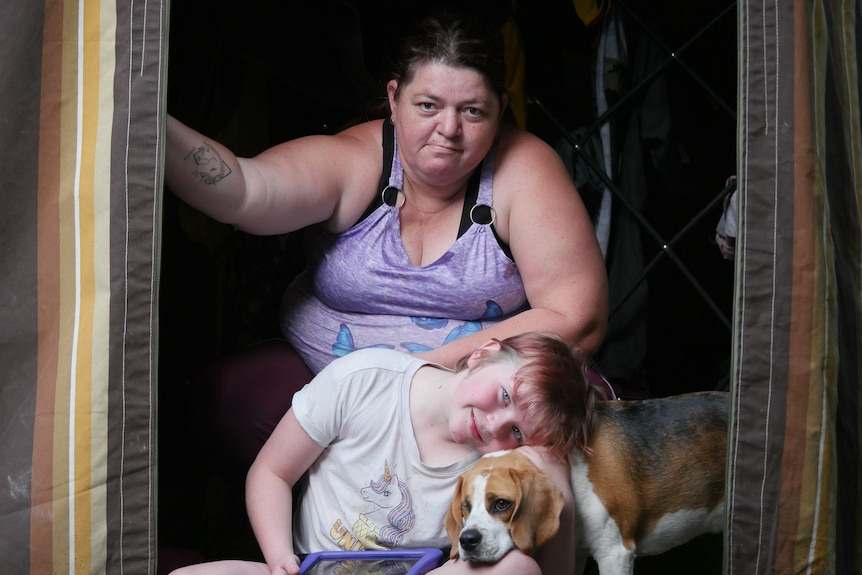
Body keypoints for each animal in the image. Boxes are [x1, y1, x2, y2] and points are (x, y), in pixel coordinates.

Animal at [446, 390, 728, 572]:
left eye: (502, 504)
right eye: (465, 507)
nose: (467, 540)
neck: (569, 467)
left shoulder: (614, 554)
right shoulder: (577, 552)